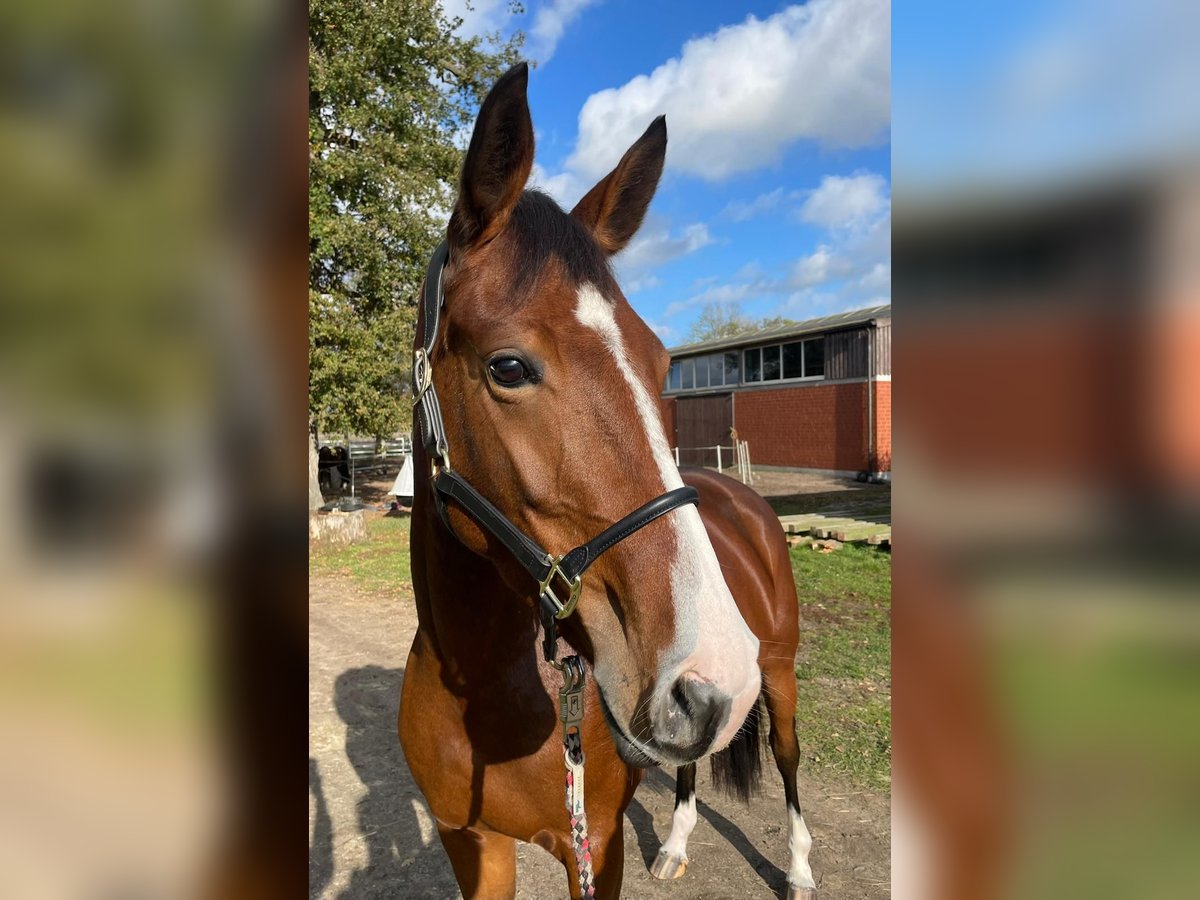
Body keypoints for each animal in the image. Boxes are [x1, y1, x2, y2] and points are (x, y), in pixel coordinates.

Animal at [400, 65, 816, 900]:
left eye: (661, 363)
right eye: (509, 366)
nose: (712, 671)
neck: (482, 689)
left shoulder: (597, 843)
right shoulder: (470, 844)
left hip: (779, 675)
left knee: (788, 760)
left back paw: (799, 867)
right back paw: (679, 842)